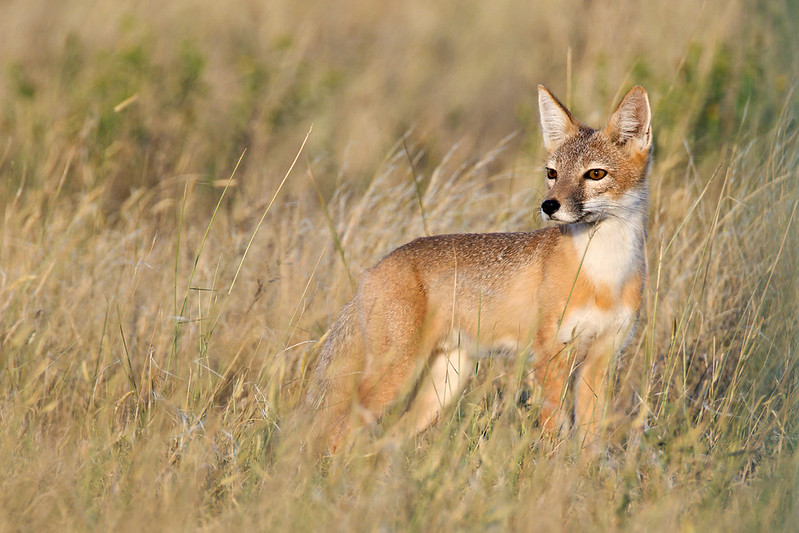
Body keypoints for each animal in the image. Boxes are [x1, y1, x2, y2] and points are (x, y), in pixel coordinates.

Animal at [306, 85, 652, 453]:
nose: (549, 206)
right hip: (396, 376)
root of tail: (373, 269)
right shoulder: (549, 358)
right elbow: (553, 434)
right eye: (552, 173)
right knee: (338, 434)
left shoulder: (601, 360)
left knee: (390, 437)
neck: (605, 276)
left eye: (595, 174)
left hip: (444, 385)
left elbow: (590, 444)